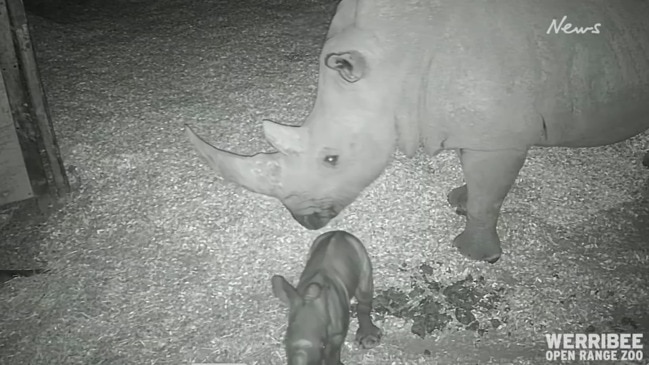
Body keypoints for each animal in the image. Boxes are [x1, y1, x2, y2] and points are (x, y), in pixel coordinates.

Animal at [272, 230, 382, 364]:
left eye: (322, 345)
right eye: (285, 342)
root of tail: (339, 232)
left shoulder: (336, 335)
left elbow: (332, 352)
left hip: (359, 250)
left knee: (364, 291)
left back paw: (369, 340)